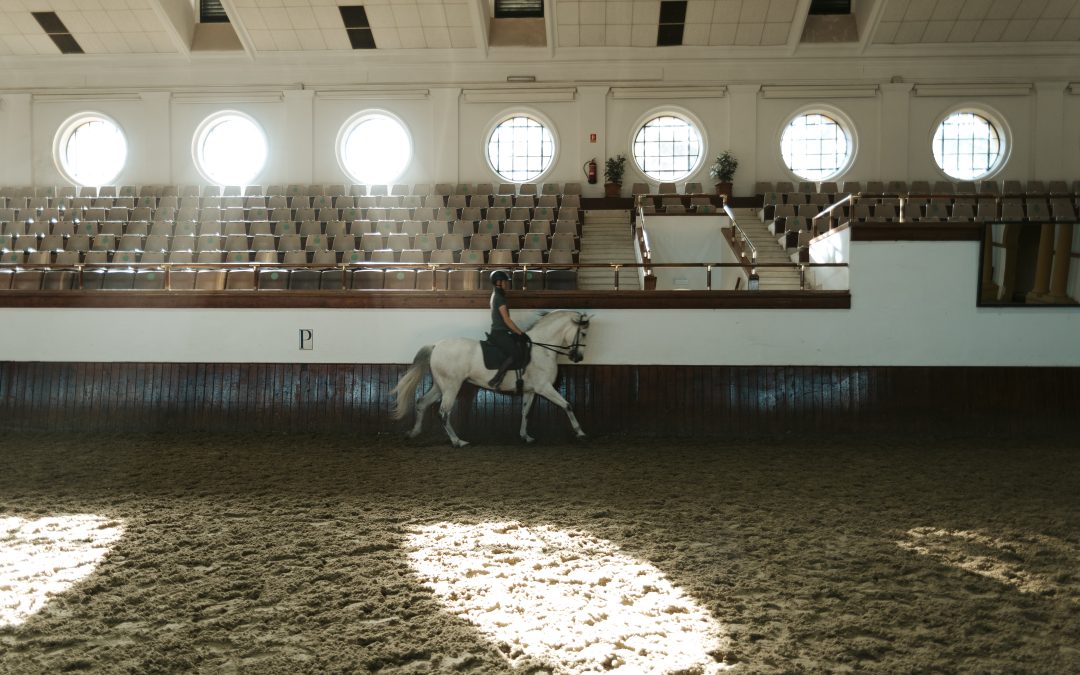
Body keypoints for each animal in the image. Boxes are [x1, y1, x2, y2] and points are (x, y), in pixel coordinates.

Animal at [390, 311, 591, 447]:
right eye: (583, 334)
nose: (578, 357)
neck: (542, 349)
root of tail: (436, 345)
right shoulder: (544, 387)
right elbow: (567, 405)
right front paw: (581, 433)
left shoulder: (531, 390)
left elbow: (525, 413)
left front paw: (525, 436)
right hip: (451, 386)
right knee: (443, 412)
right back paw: (458, 441)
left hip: (440, 386)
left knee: (422, 403)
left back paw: (413, 433)